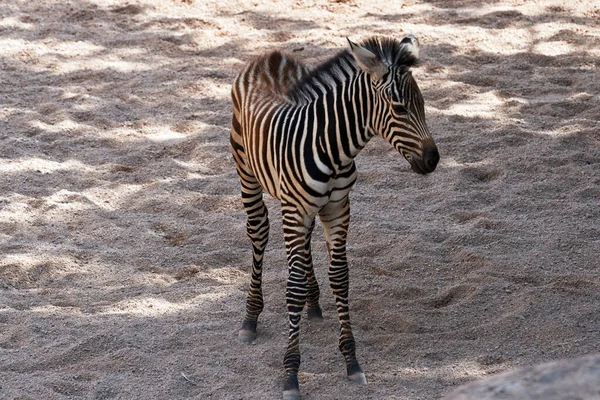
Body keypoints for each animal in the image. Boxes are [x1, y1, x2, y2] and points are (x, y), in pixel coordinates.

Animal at [227, 35, 438, 400]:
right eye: (400, 109)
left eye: (423, 104)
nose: (433, 159)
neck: (333, 148)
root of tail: (271, 56)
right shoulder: (296, 210)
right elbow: (293, 286)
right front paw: (291, 374)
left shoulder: (338, 207)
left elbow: (340, 277)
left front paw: (352, 362)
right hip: (247, 173)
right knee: (258, 232)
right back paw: (251, 317)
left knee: (305, 243)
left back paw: (313, 303)